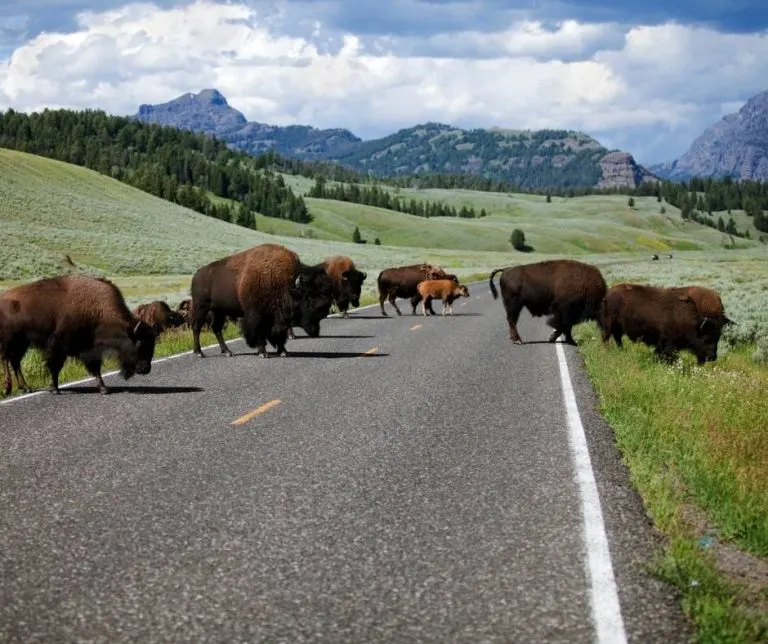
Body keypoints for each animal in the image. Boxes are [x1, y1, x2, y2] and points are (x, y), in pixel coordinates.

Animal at [0, 274, 157, 394]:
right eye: (139, 344)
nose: (146, 369)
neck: (98, 308)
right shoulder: (58, 344)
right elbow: (55, 366)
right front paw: (54, 389)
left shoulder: (90, 348)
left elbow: (95, 369)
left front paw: (103, 388)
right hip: (10, 340)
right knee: (6, 359)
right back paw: (8, 388)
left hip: (22, 343)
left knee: (15, 361)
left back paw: (26, 387)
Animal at [190, 244, 332, 360]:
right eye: (309, 297)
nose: (324, 307)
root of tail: (197, 274)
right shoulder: (257, 315)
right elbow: (260, 333)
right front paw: (263, 353)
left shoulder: (276, 318)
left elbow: (278, 334)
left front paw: (283, 351)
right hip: (201, 307)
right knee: (197, 327)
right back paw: (199, 353)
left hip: (219, 311)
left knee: (216, 328)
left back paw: (227, 352)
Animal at [596, 284, 728, 364]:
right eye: (707, 339)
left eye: (718, 338)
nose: (712, 357)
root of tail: (608, 294)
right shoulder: (668, 343)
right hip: (609, 324)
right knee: (606, 337)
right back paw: (607, 351)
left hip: (618, 327)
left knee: (617, 338)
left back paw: (621, 350)